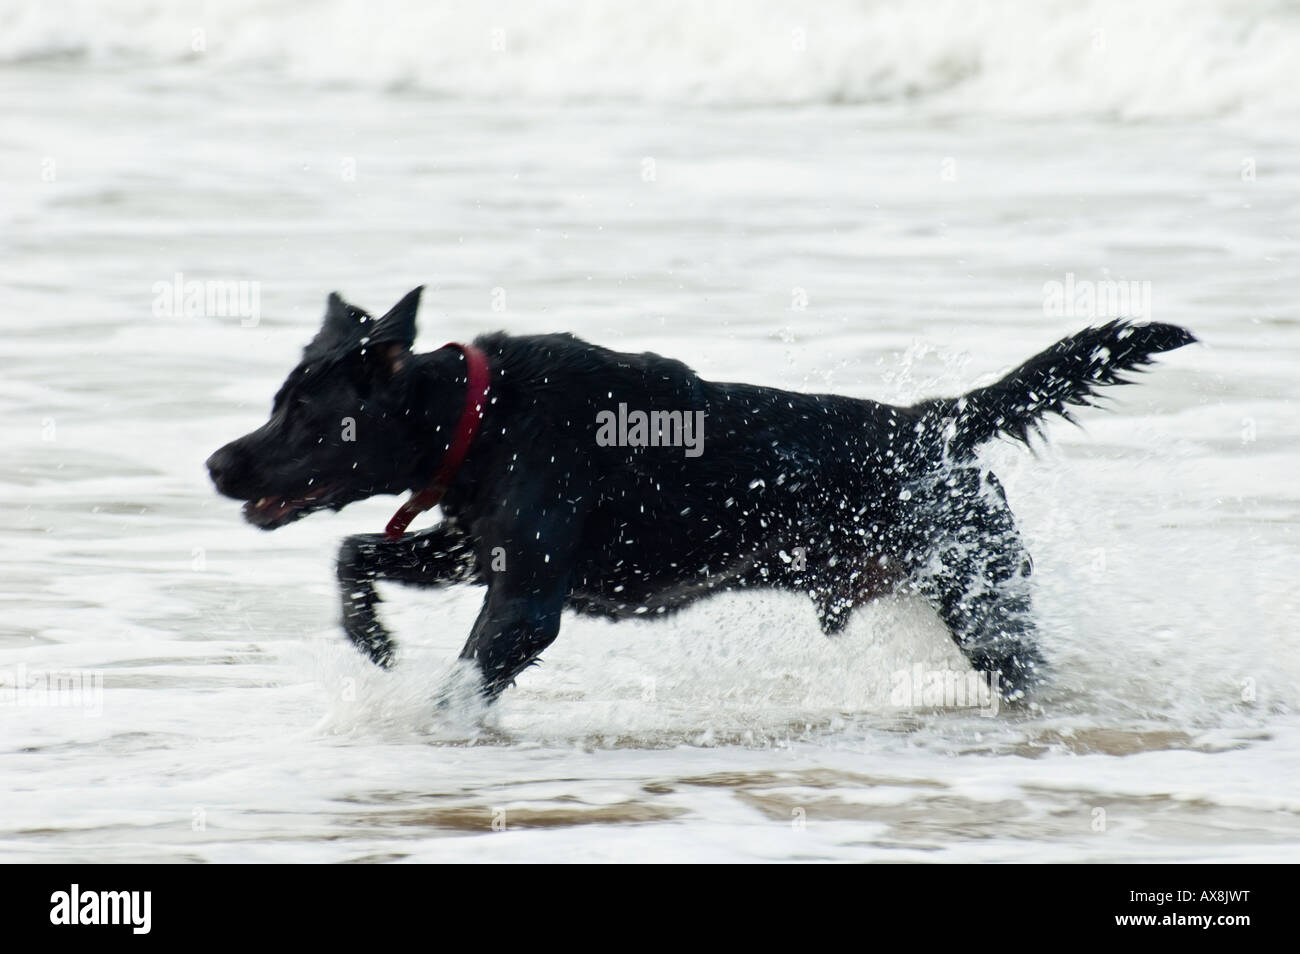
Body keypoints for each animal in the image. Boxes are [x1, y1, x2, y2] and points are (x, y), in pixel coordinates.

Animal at [205, 291, 1196, 712]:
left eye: (304, 413)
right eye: (278, 400)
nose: (217, 464)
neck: (477, 416)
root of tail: (935, 422)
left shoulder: (525, 602)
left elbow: (460, 682)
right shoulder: (473, 548)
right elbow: (355, 552)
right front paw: (369, 635)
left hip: (985, 604)